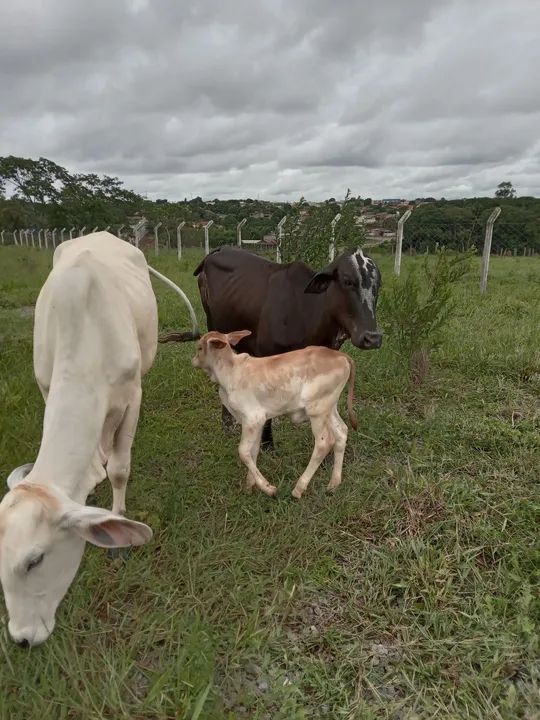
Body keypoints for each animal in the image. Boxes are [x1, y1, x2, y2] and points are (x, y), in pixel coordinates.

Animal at [0, 231, 199, 647]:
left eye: (35, 560)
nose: (22, 638)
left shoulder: (132, 397)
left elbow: (121, 469)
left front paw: (117, 520)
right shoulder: (47, 386)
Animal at [162, 245, 382, 449]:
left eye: (378, 285)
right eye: (347, 281)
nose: (372, 338)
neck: (307, 310)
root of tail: (219, 250)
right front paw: (267, 443)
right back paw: (227, 424)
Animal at [192, 330, 357, 498]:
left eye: (199, 347)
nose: (194, 361)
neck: (230, 371)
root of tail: (341, 356)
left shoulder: (252, 418)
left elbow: (243, 451)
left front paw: (268, 488)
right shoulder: (257, 422)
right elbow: (253, 451)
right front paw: (249, 486)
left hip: (317, 410)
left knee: (324, 443)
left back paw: (299, 488)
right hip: (329, 408)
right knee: (342, 432)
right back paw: (333, 484)